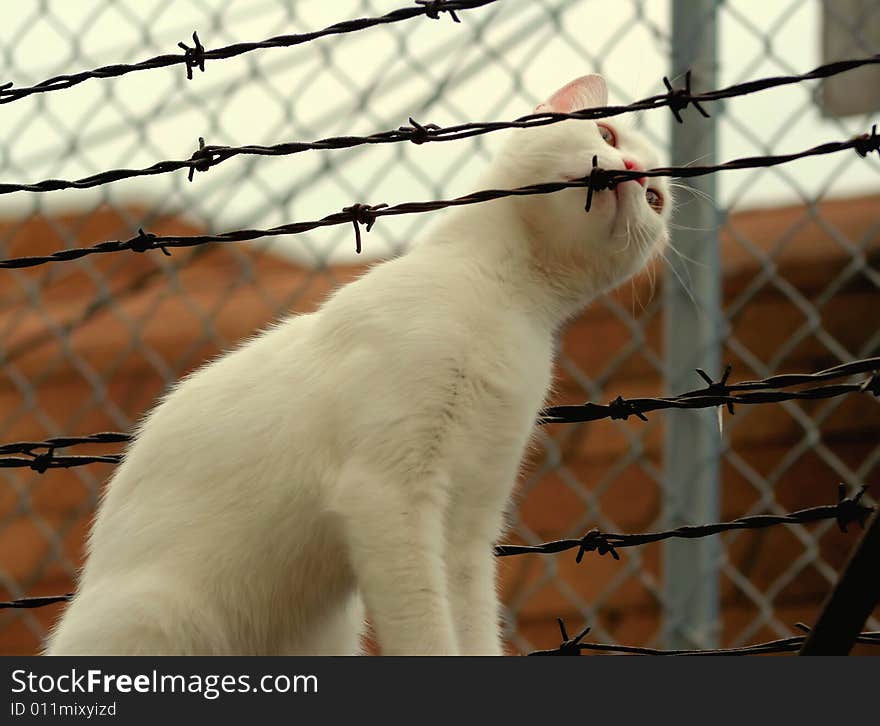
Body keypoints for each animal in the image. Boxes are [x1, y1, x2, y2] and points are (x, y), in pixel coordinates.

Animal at [44, 77, 672, 656]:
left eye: (657, 201)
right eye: (608, 134)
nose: (634, 171)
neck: (508, 299)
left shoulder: (470, 523)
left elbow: (471, 623)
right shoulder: (388, 488)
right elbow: (424, 628)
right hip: (163, 615)